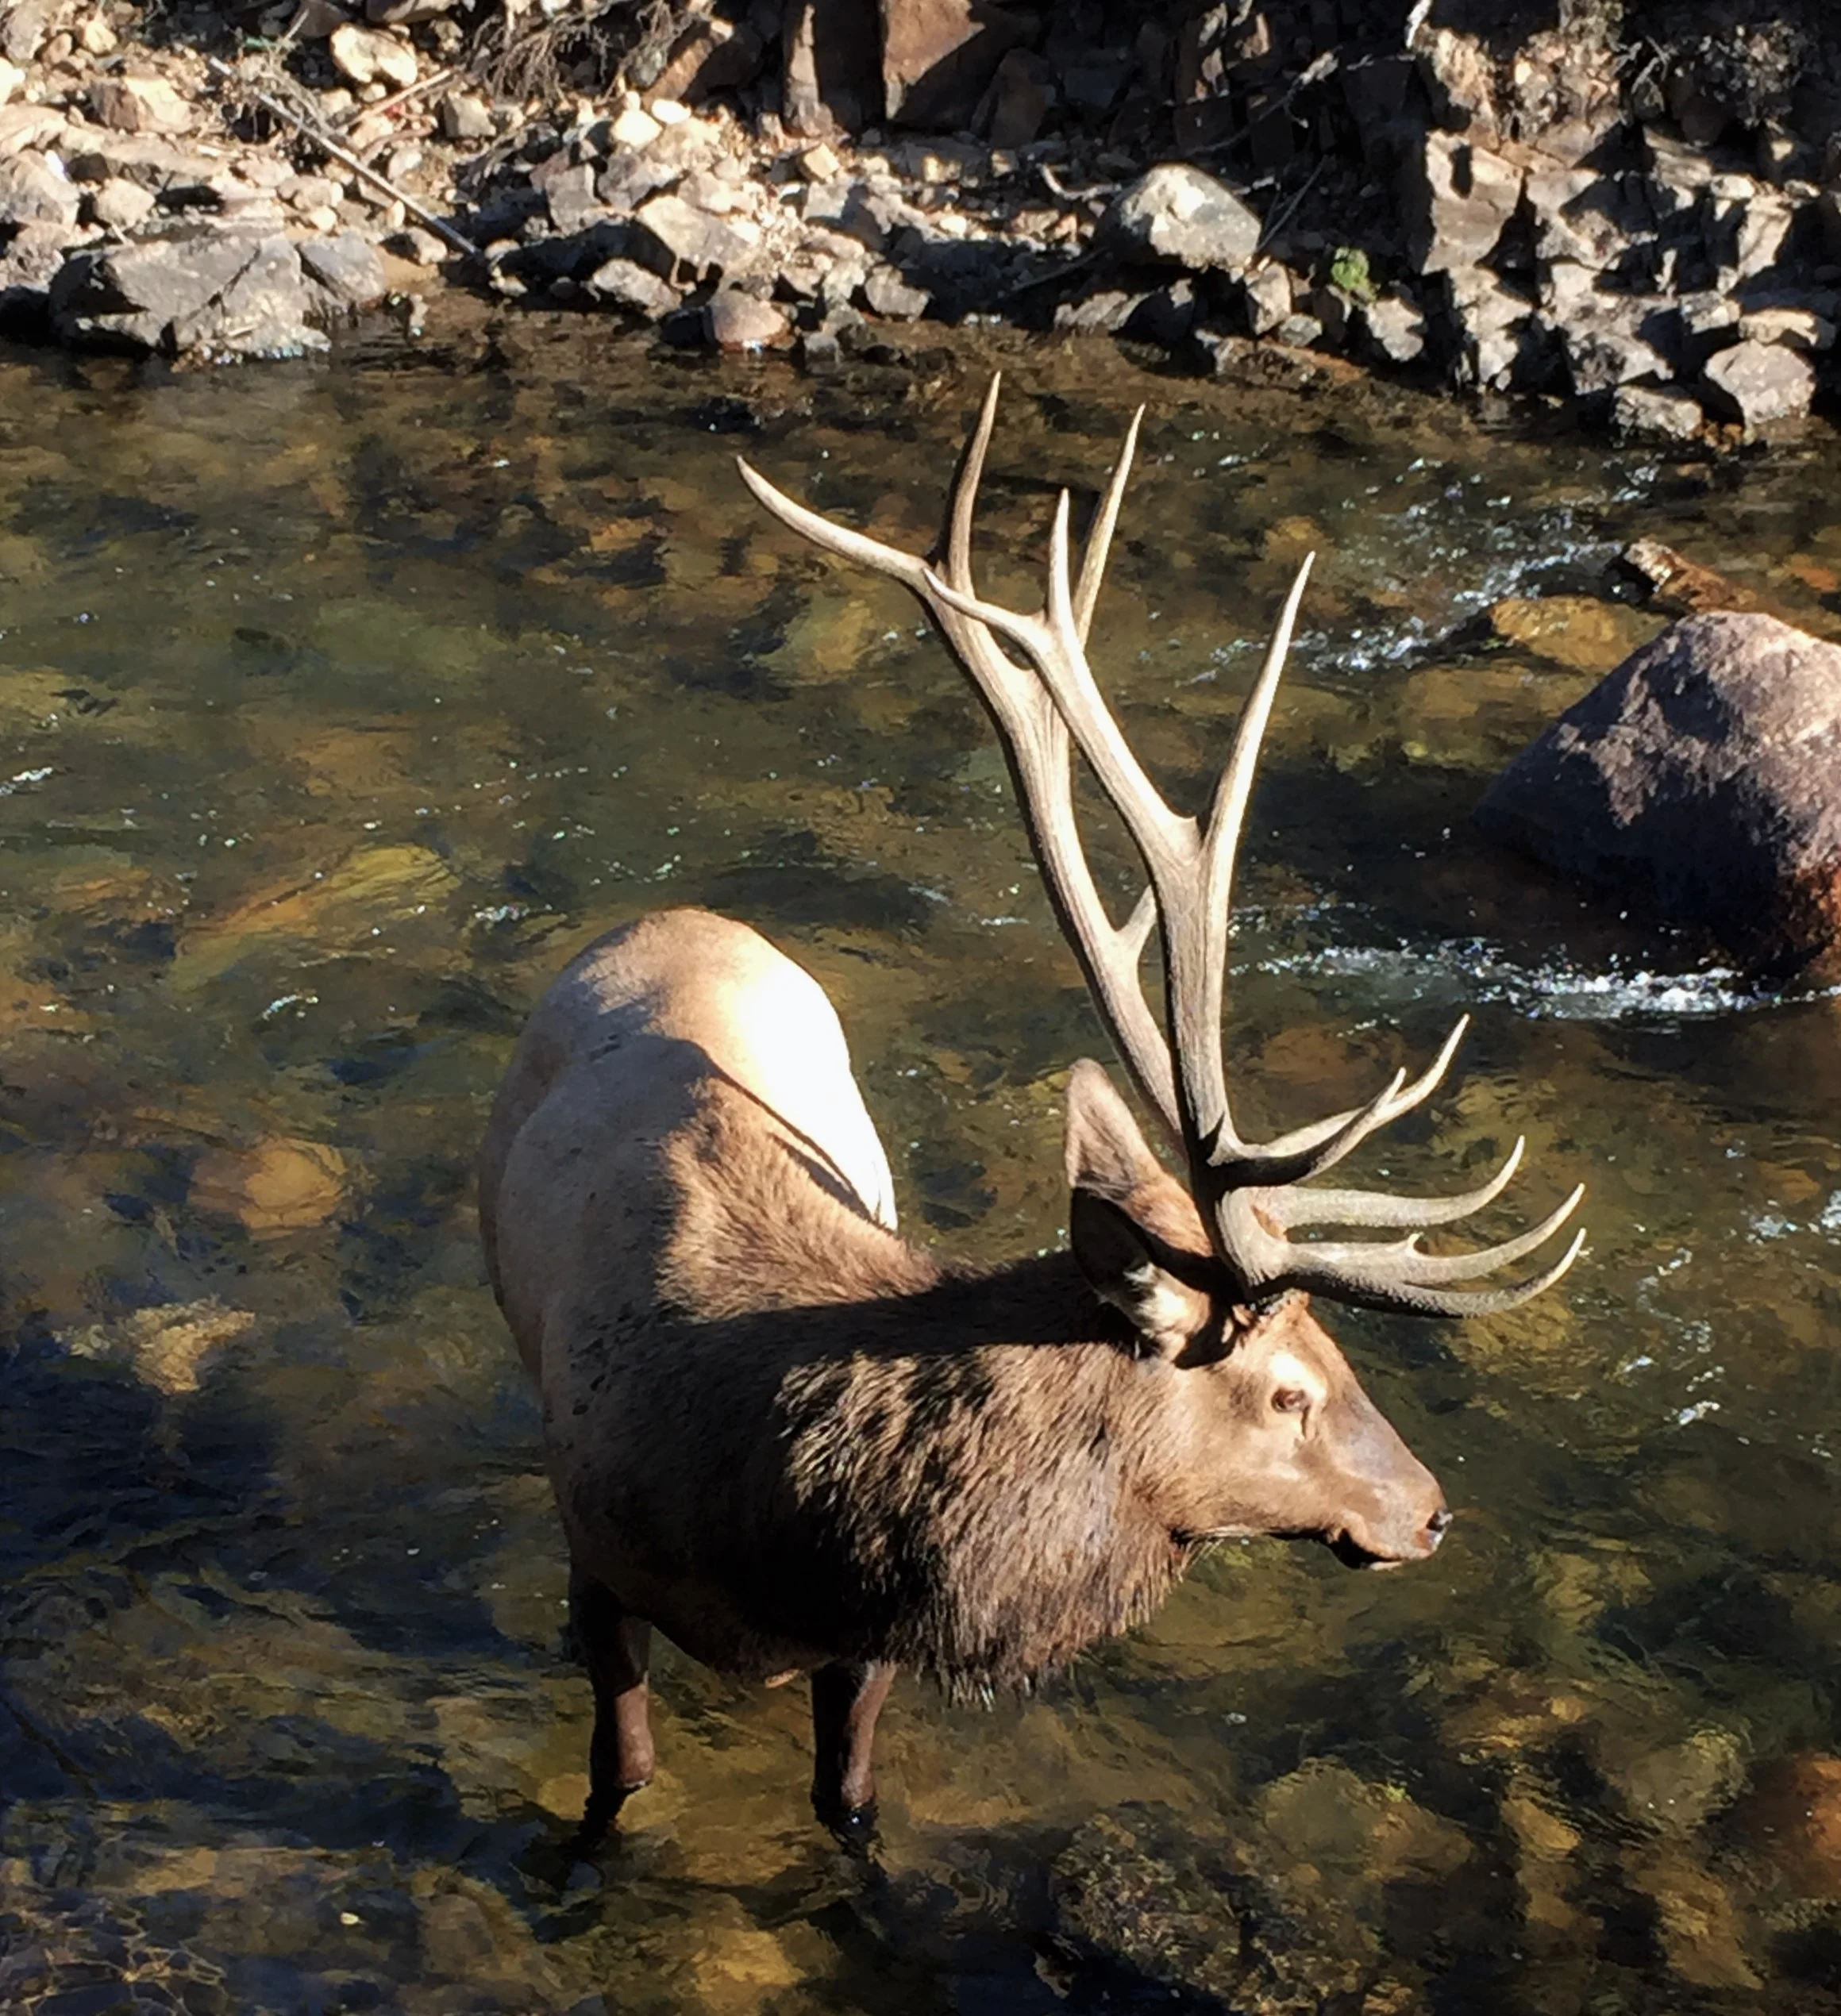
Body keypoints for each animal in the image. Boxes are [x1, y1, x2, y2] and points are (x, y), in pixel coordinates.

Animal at [477, 376, 1584, 1846]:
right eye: (1288, 1390)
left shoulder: (866, 1640)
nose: (1429, 1512)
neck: (777, 1512)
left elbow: (848, 1797)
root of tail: (679, 912)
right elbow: (621, 1777)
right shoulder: (596, 1563)